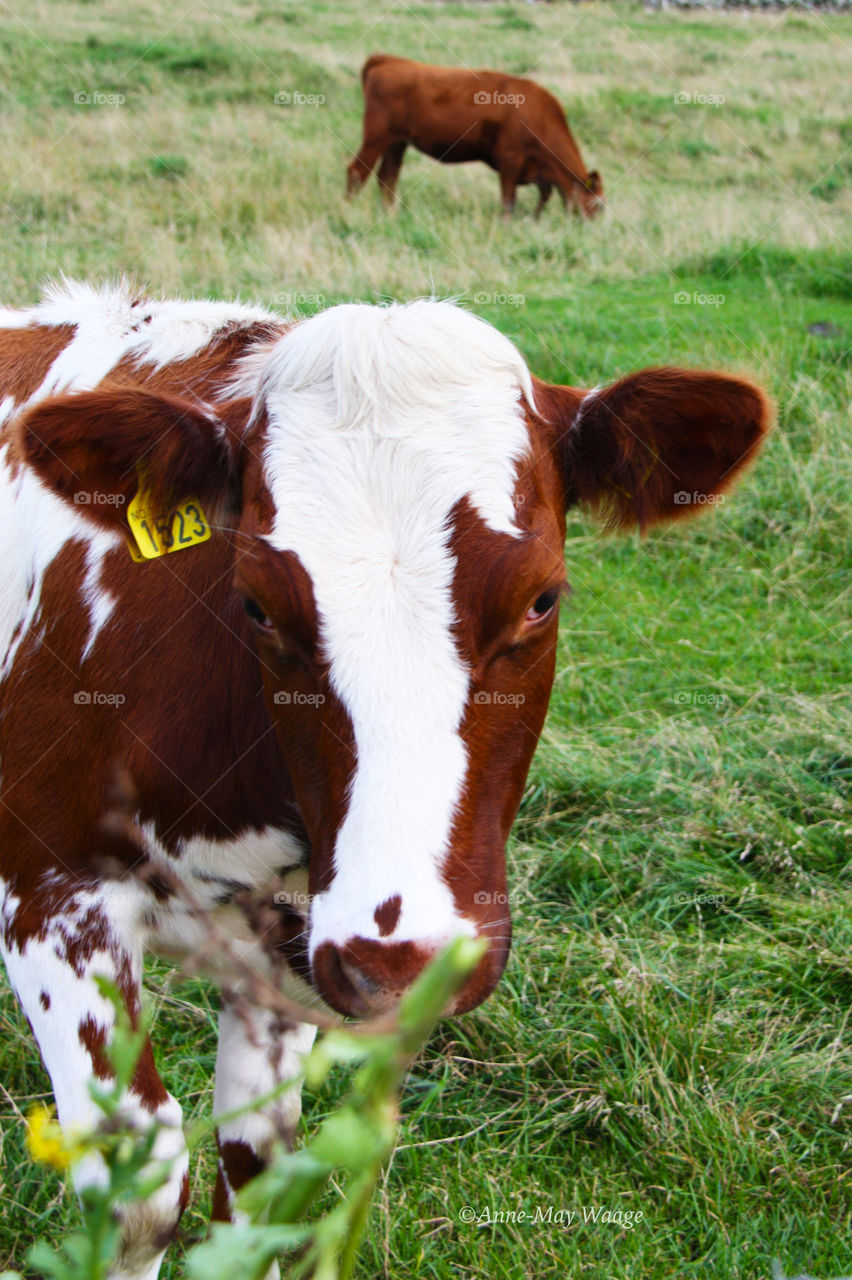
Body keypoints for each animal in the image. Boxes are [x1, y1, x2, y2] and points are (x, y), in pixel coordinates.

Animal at [0, 281, 769, 1278]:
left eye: (541, 598)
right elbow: (139, 1188)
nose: (401, 960)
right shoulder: (46, 892)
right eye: (256, 604)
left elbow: (259, 1177)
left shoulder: (292, 944)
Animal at [346, 54, 603, 218]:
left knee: (387, 177)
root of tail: (389, 60)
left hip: (397, 142)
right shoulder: (509, 159)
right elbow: (509, 200)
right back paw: (349, 211)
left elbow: (545, 194)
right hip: (376, 137)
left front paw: (535, 218)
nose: (593, 230)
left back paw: (392, 214)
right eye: (600, 206)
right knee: (357, 172)